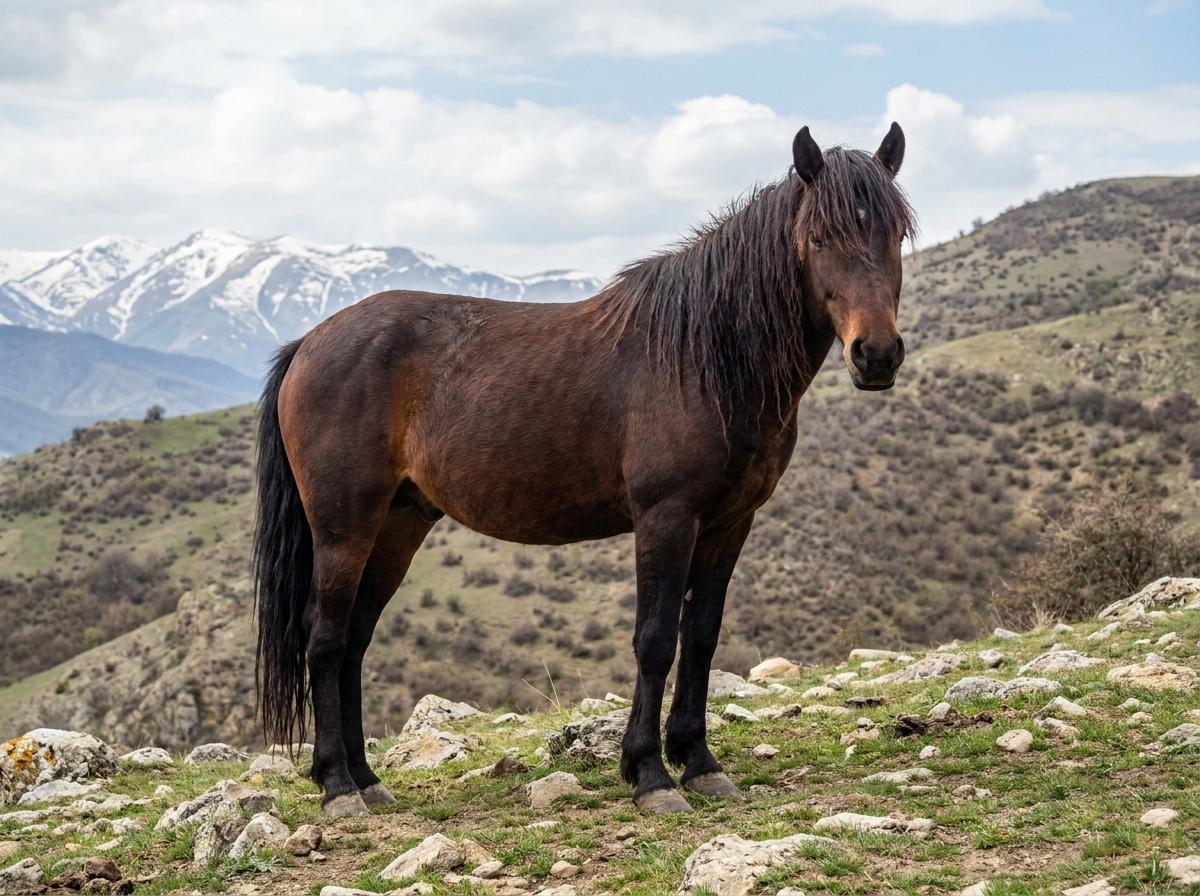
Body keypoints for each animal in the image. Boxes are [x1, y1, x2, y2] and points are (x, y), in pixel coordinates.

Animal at [254, 122, 914, 817]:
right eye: (819, 238)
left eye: (895, 233)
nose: (876, 354)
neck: (703, 358)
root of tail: (310, 342)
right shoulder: (666, 519)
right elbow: (656, 639)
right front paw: (650, 774)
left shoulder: (730, 524)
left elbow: (702, 635)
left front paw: (700, 763)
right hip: (344, 528)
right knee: (324, 639)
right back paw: (336, 785)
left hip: (398, 525)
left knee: (354, 639)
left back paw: (367, 779)